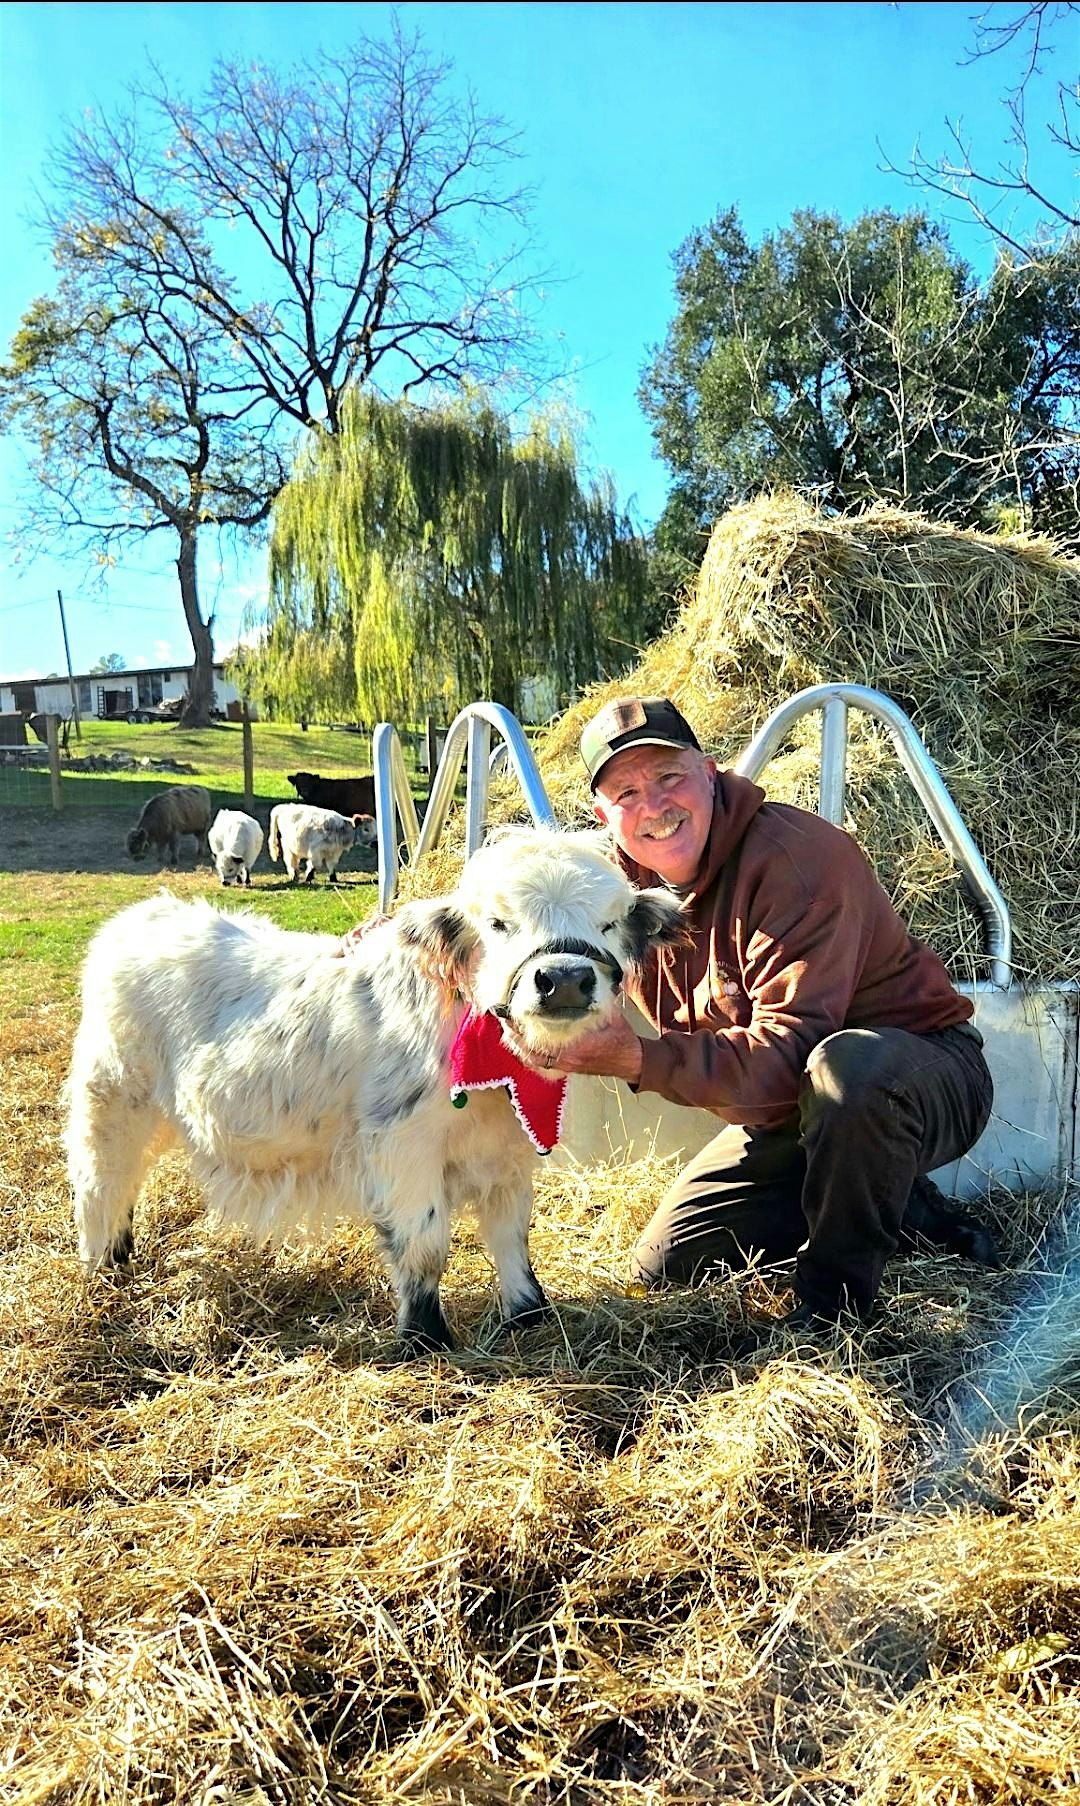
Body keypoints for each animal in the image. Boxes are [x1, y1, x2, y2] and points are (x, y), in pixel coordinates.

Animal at [64, 826, 688, 1353]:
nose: (563, 979)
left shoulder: (508, 1154)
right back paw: (103, 1271)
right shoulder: (403, 1147)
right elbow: (423, 1241)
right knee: (101, 1184)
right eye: (497, 922)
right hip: (110, 1100)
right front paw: (425, 1338)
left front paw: (530, 1314)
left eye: (610, 921)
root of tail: (149, 914)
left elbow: (511, 1234)